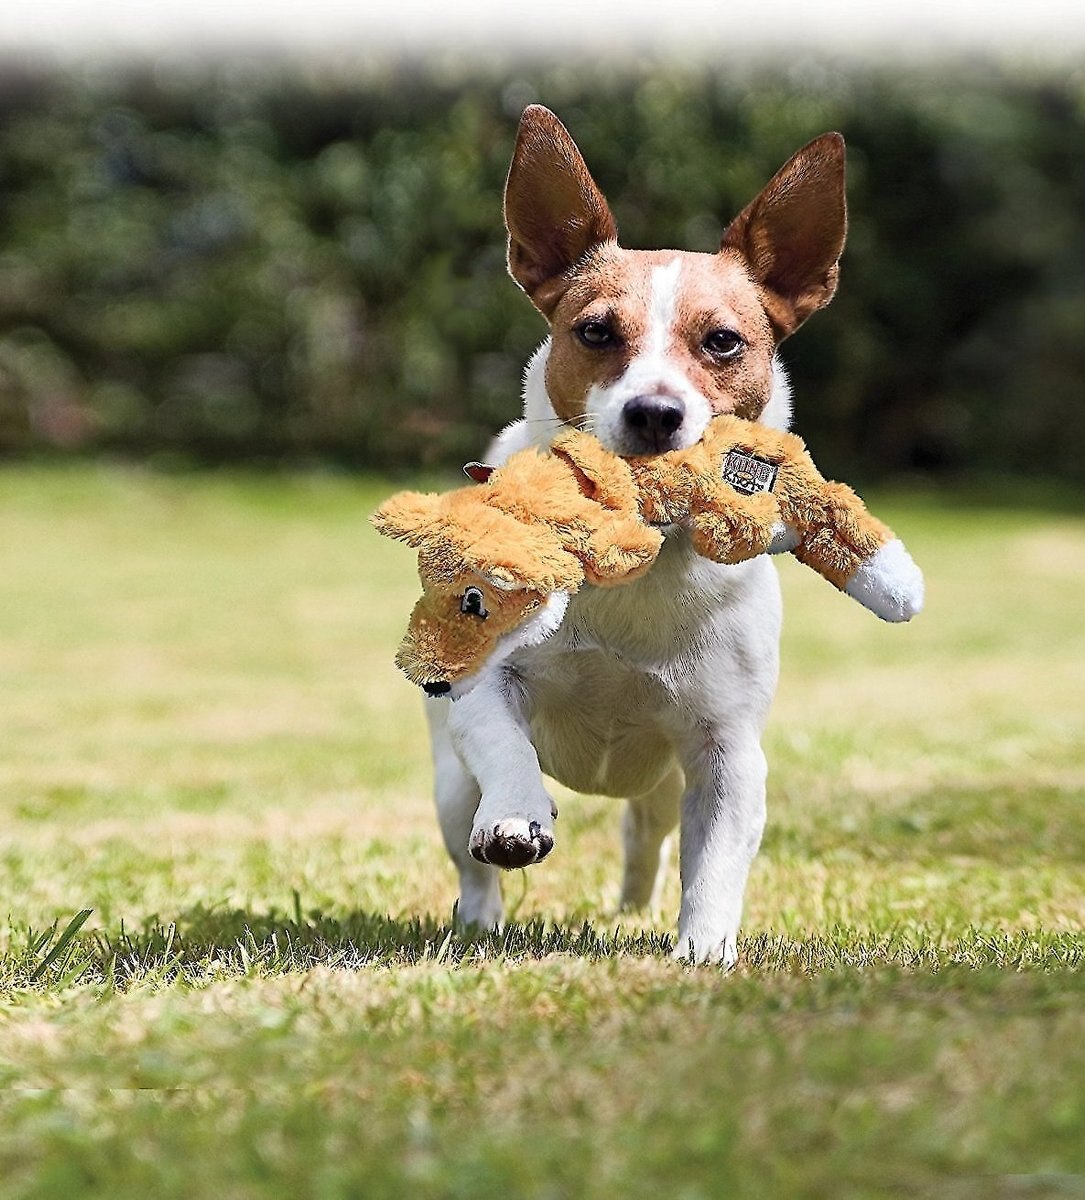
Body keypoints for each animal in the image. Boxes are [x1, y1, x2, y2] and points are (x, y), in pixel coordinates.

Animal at [427, 105, 868, 964]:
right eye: (596, 332)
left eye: (722, 341)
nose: (654, 413)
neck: (640, 553)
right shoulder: (486, 690)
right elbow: (503, 743)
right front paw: (516, 816)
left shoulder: (727, 752)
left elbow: (717, 859)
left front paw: (702, 949)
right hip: (448, 783)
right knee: (468, 848)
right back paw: (481, 912)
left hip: (664, 785)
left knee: (648, 836)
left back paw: (633, 907)